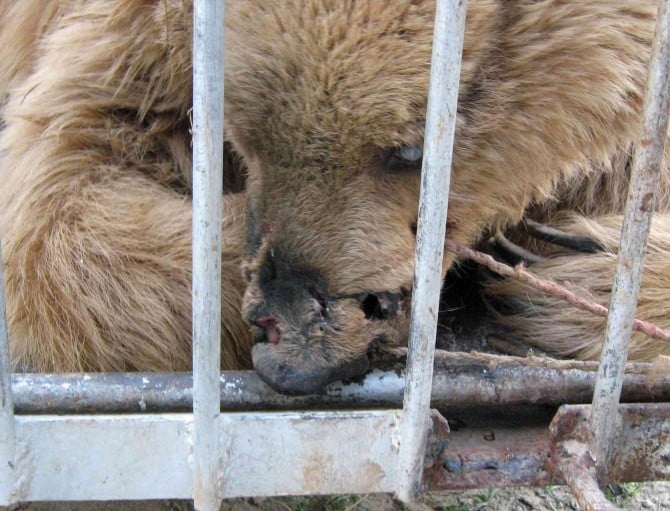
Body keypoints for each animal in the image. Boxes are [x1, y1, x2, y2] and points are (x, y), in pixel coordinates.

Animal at [0, 0, 668, 394]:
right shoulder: (134, 50)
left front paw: (581, 269)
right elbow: (60, 187)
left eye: (411, 150)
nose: (295, 359)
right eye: (245, 136)